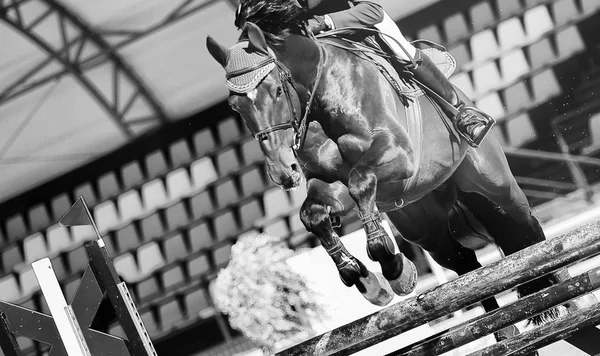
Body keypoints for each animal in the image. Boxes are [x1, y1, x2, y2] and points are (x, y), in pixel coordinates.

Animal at [204, 0, 592, 340]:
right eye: (234, 106)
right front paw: (367, 281)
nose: (283, 174)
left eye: (275, 89)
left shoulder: (397, 157)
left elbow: (361, 183)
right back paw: (503, 331)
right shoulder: (328, 182)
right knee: (465, 264)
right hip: (425, 226)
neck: (321, 92)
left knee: (526, 236)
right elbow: (313, 215)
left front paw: (393, 270)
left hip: (497, 192)